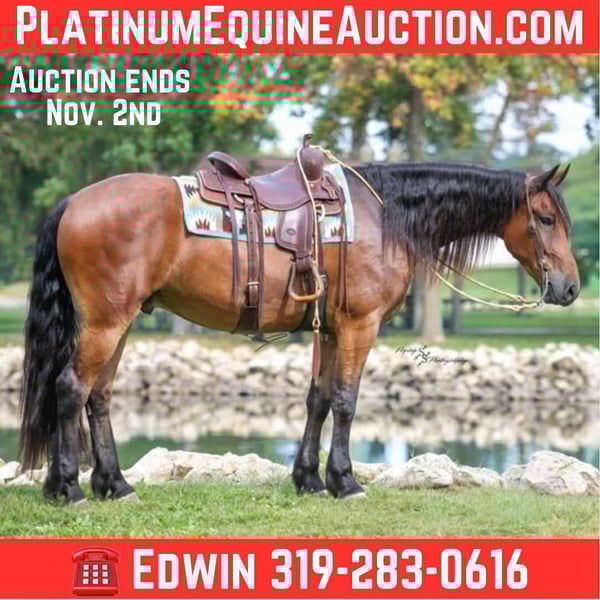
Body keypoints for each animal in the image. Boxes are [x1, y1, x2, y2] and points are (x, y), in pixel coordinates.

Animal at [18, 159, 578, 504]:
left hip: (119, 321)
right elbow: (347, 401)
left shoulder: (329, 329)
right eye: (546, 219)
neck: (385, 215)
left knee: (98, 396)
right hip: (106, 323)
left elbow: (319, 399)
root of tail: (73, 202)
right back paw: (69, 488)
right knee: (70, 388)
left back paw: (113, 484)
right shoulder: (359, 326)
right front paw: (345, 480)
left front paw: (308, 478)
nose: (570, 288)